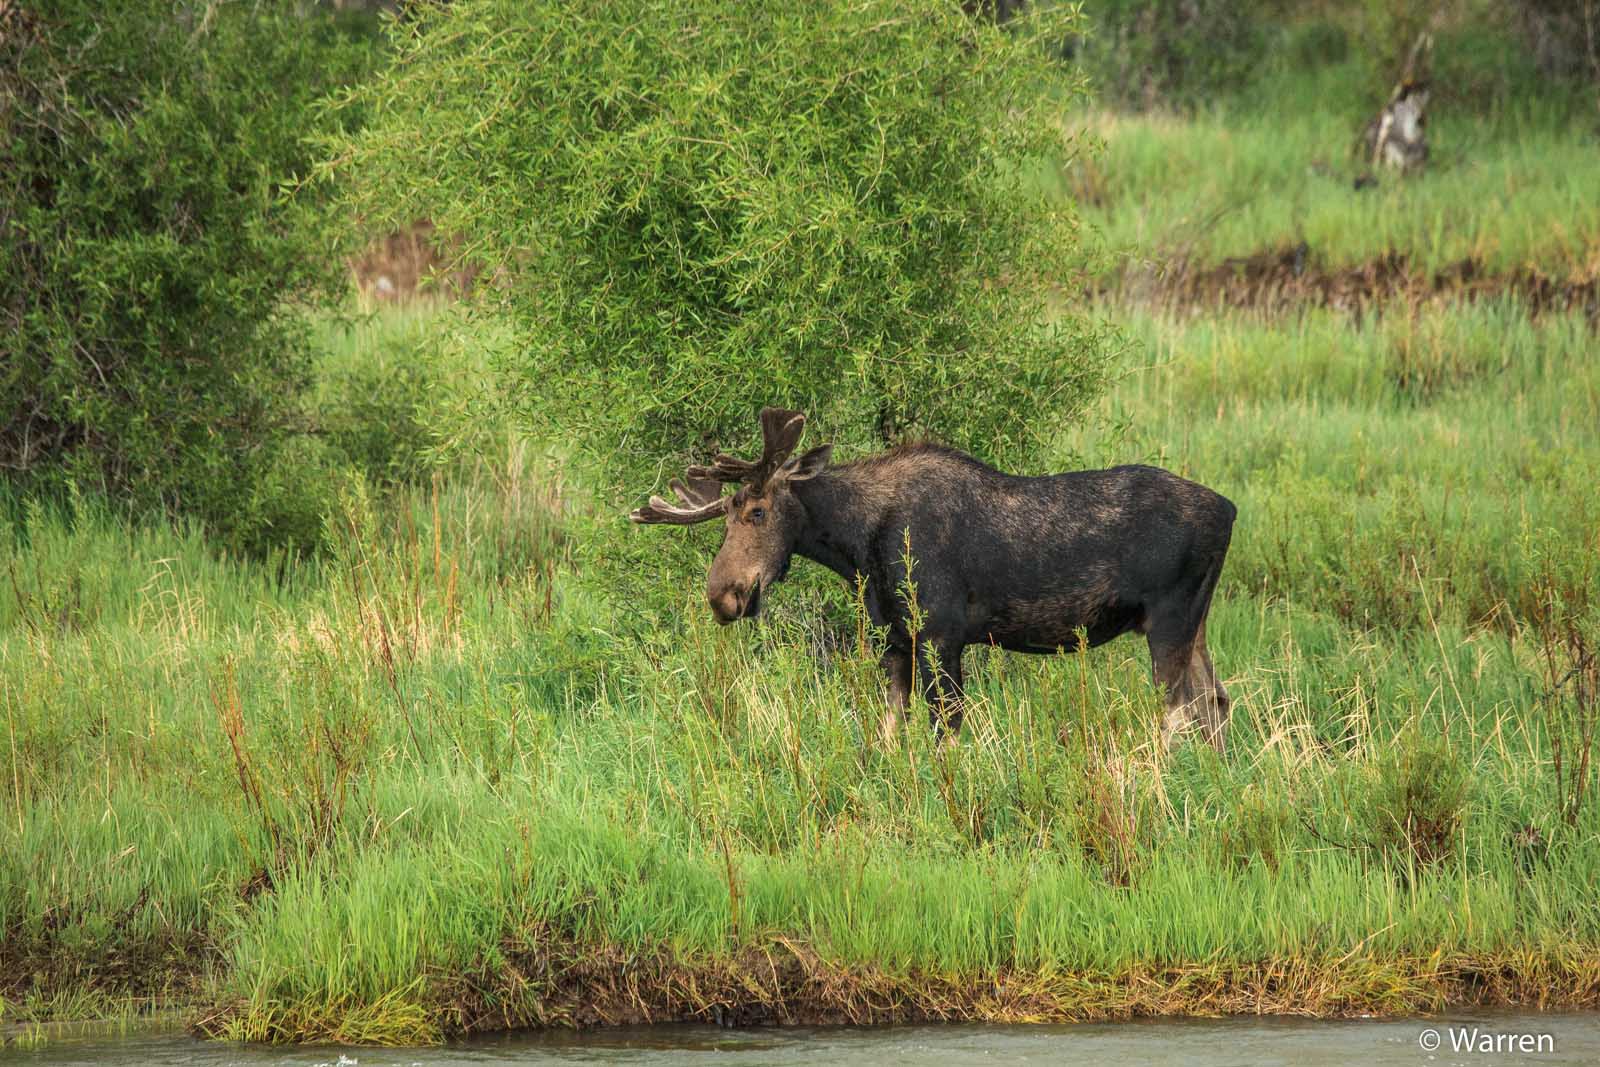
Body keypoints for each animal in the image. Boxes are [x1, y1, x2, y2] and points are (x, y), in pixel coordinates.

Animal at [631, 408, 1237, 751]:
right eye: (725, 515)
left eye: (757, 511)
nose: (722, 595)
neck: (858, 546)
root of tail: (1230, 510)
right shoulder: (896, 641)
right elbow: (888, 736)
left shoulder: (942, 634)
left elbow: (945, 734)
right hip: (1195, 625)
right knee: (1216, 703)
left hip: (1169, 620)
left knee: (1178, 712)